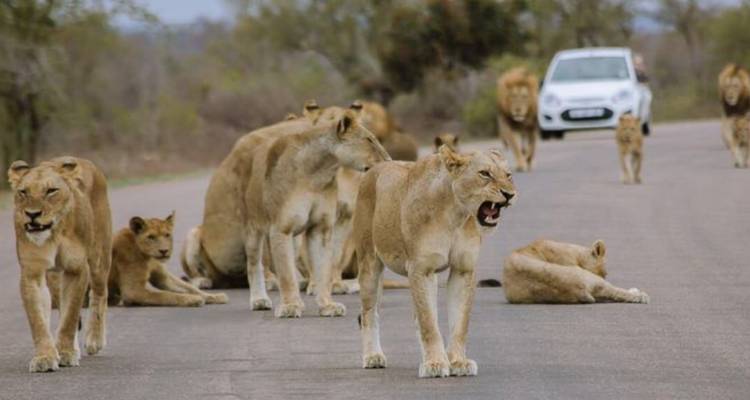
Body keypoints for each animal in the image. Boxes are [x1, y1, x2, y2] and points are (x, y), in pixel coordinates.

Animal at [8, 157, 112, 372]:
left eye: (51, 191)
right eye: (23, 192)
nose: (32, 214)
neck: (55, 231)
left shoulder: (77, 269)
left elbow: (70, 315)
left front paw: (65, 353)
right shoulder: (33, 271)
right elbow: (39, 319)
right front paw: (45, 357)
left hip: (99, 258)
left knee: (99, 294)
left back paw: (95, 340)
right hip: (54, 275)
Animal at [182, 101, 390, 318]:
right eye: (369, 140)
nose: (389, 160)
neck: (320, 172)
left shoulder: (321, 227)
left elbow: (324, 267)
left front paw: (327, 305)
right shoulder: (281, 228)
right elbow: (286, 274)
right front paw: (291, 306)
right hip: (251, 228)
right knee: (254, 265)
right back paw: (258, 299)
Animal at [353, 145, 517, 378]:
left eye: (508, 175)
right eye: (485, 173)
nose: (509, 194)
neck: (455, 214)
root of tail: (376, 167)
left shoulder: (463, 269)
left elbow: (459, 322)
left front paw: (457, 362)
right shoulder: (422, 269)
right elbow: (429, 322)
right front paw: (436, 364)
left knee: (415, 317)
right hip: (369, 264)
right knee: (368, 314)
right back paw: (373, 357)